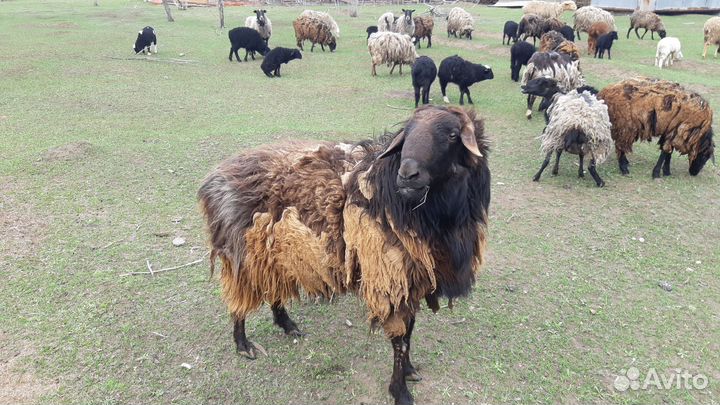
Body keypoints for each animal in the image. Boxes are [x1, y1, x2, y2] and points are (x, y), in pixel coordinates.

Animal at [197, 105, 491, 405]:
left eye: (453, 135)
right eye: (407, 133)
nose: (407, 175)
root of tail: (215, 175)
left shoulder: (413, 281)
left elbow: (409, 332)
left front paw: (409, 370)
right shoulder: (390, 280)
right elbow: (400, 339)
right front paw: (400, 391)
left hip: (275, 250)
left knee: (273, 285)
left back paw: (286, 324)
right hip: (241, 251)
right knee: (240, 295)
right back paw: (242, 344)